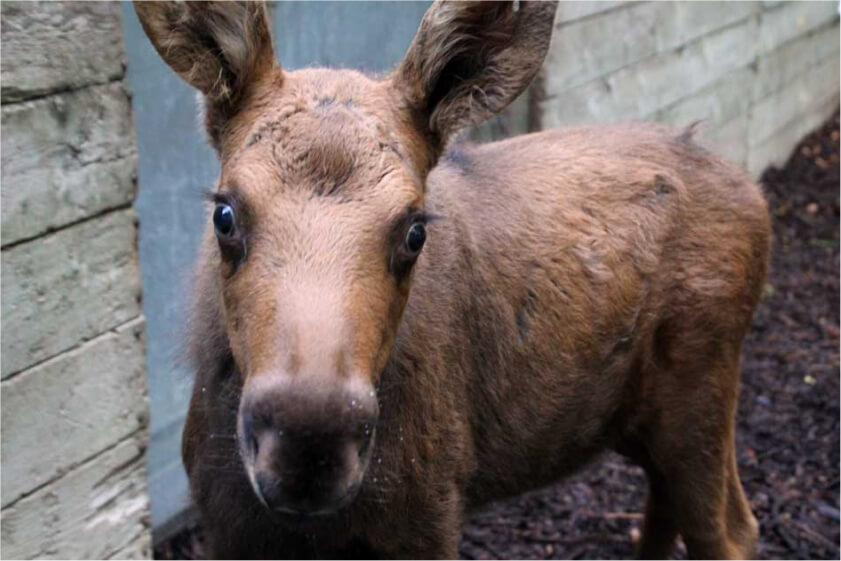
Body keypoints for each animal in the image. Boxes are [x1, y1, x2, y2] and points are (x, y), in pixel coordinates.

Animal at [136, 2, 768, 556]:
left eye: (415, 230)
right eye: (224, 214)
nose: (306, 447)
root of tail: (755, 195)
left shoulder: (429, 513)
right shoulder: (224, 522)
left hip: (702, 392)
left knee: (732, 529)